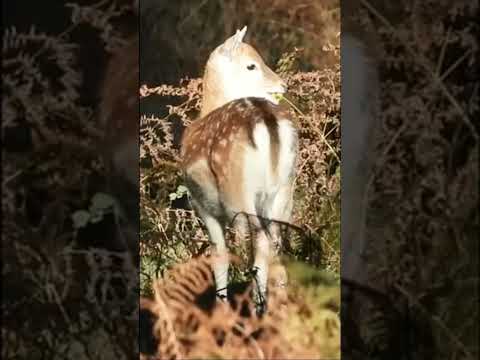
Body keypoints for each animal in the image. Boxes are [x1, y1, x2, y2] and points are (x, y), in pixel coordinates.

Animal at [182, 27, 298, 312]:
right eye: (251, 65)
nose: (283, 85)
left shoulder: (202, 205)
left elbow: (219, 256)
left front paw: (220, 307)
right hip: (285, 190)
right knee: (276, 247)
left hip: (238, 193)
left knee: (259, 245)